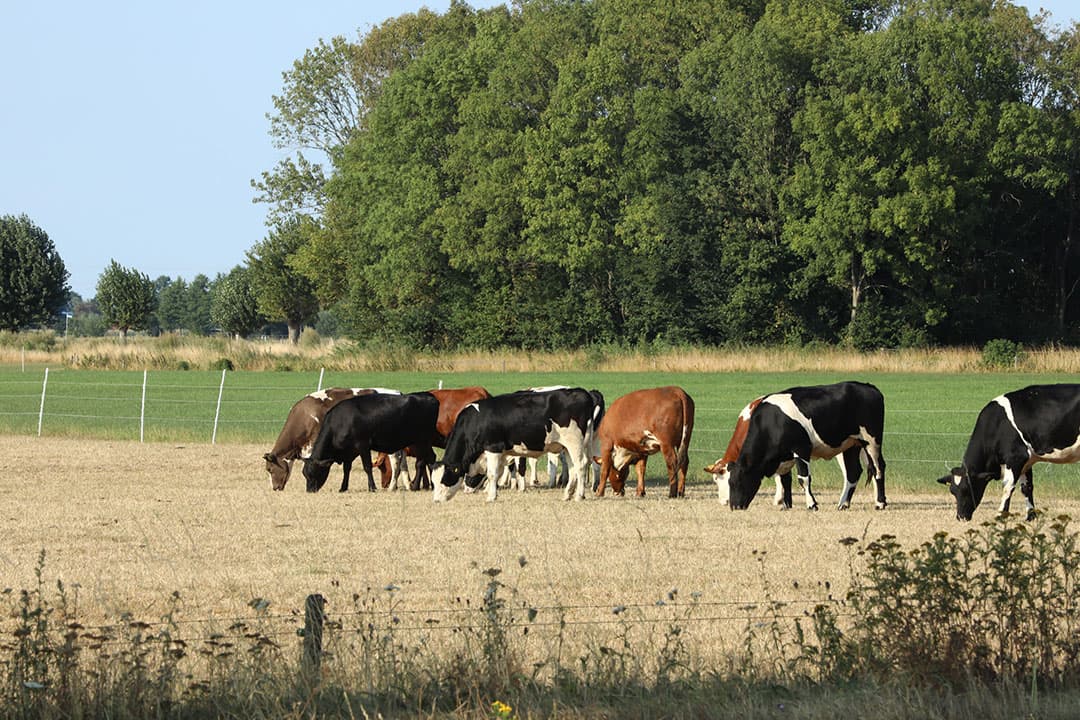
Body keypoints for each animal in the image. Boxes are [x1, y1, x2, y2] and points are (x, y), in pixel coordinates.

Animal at [263, 387, 400, 491]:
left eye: (269, 469)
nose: (275, 488)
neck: (306, 415)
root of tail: (397, 392)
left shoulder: (312, 443)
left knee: (395, 460)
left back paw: (392, 486)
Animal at [302, 392, 440, 493]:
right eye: (304, 473)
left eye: (313, 472)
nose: (309, 490)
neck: (340, 422)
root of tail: (428, 396)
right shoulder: (349, 451)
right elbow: (347, 469)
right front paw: (343, 487)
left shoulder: (363, 446)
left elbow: (367, 467)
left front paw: (372, 487)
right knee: (431, 458)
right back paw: (433, 486)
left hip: (422, 440)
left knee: (421, 462)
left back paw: (415, 486)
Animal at [431, 387, 602, 502]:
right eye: (433, 481)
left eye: (444, 479)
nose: (436, 500)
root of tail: (583, 392)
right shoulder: (502, 453)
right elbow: (501, 472)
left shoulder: (493, 447)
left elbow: (492, 474)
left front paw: (491, 497)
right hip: (568, 446)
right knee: (573, 468)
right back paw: (567, 494)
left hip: (575, 442)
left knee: (581, 465)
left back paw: (579, 495)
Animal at [726, 381, 887, 511]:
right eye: (730, 483)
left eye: (738, 481)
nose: (735, 506)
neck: (773, 422)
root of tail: (869, 387)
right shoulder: (786, 456)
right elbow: (785, 480)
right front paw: (786, 505)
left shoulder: (801, 449)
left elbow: (803, 478)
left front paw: (812, 504)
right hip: (850, 445)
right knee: (853, 472)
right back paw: (843, 504)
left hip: (871, 441)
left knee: (878, 468)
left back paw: (880, 503)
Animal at [937, 384, 1080, 521]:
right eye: (952, 491)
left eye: (968, 489)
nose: (961, 517)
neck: (996, 424)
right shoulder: (1027, 461)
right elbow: (1027, 488)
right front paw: (1030, 516)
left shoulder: (1016, 458)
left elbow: (1007, 487)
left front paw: (1000, 515)